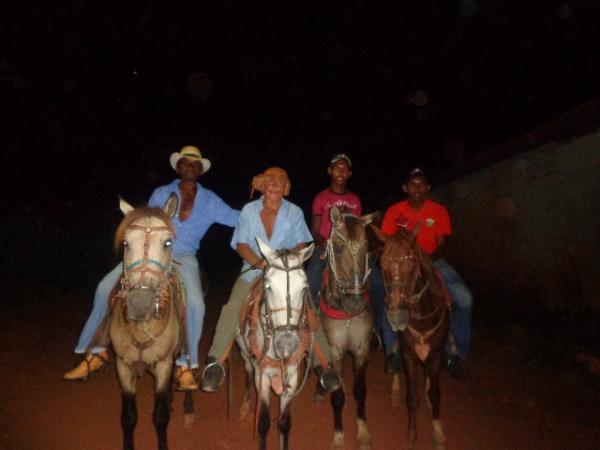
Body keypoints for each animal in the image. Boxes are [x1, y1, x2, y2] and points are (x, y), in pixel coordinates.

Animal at [108, 197, 186, 450]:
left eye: (168, 243)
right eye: (125, 243)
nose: (140, 303)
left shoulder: (163, 364)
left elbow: (160, 416)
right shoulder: (122, 366)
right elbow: (128, 417)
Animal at [237, 237, 316, 448]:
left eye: (304, 287)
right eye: (268, 286)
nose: (286, 344)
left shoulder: (293, 376)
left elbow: (284, 423)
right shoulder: (262, 375)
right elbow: (263, 423)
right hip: (245, 354)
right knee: (247, 370)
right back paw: (245, 405)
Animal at [378, 229, 448, 450]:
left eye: (411, 259)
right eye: (382, 262)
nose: (396, 313)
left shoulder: (436, 355)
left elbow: (435, 394)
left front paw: (438, 433)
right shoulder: (409, 355)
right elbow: (412, 396)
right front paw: (411, 433)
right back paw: (395, 391)